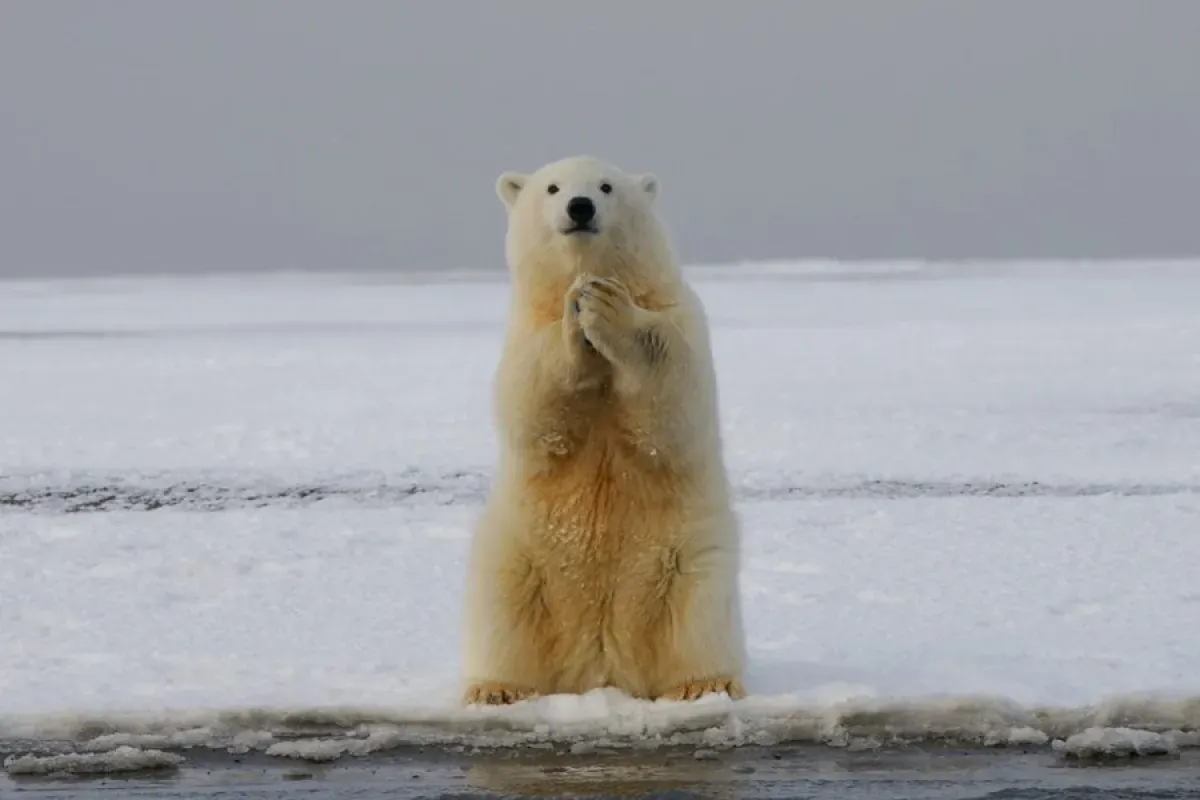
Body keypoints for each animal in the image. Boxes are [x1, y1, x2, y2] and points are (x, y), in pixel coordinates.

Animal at [460, 155, 748, 705]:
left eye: (607, 186)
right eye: (552, 187)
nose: (580, 206)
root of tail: (601, 667)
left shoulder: (680, 314)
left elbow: (676, 396)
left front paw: (608, 308)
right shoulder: (523, 333)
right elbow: (531, 404)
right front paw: (577, 317)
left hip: (688, 560)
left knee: (698, 616)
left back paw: (702, 684)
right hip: (517, 557)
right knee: (503, 614)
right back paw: (497, 689)